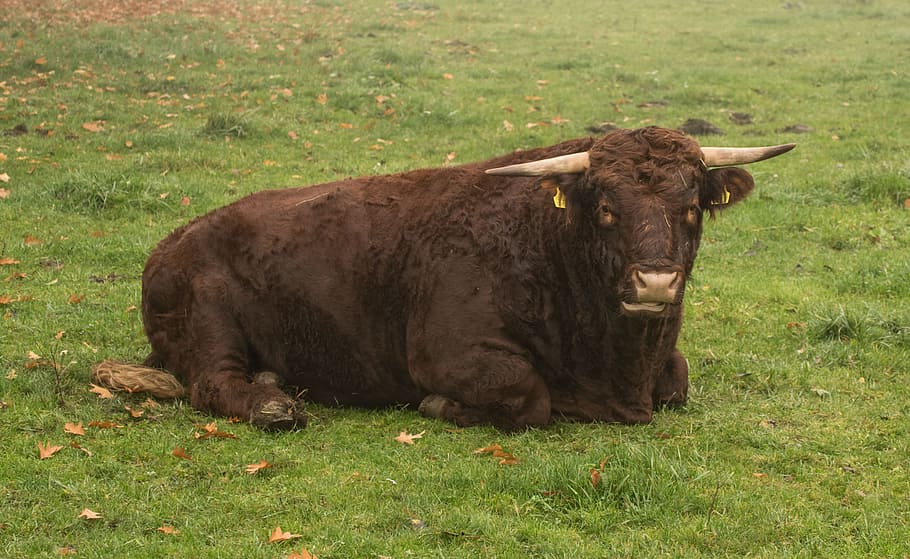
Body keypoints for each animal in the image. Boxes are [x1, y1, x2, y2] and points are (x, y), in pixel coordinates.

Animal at [94, 126, 794, 430]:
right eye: (605, 207)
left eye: (692, 206)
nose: (654, 283)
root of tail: (172, 244)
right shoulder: (449, 353)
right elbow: (529, 397)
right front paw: (440, 406)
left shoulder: (664, 366)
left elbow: (679, 380)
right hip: (209, 326)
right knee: (211, 384)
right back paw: (271, 402)